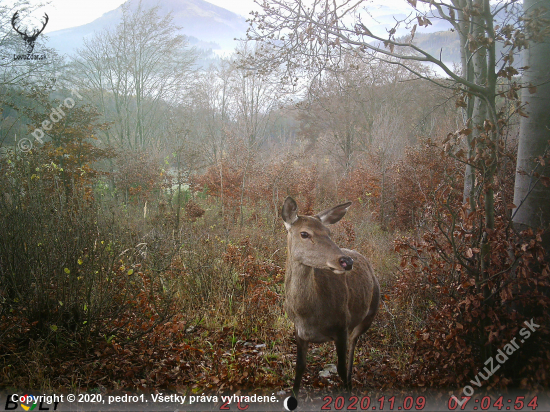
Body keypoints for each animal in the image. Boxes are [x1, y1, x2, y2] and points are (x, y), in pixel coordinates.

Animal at [282, 197, 382, 396]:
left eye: (328, 232)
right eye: (304, 233)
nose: (346, 261)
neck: (308, 315)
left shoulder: (342, 325)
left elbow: (341, 369)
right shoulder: (299, 332)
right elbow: (299, 368)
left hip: (369, 314)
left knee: (354, 343)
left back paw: (351, 380)